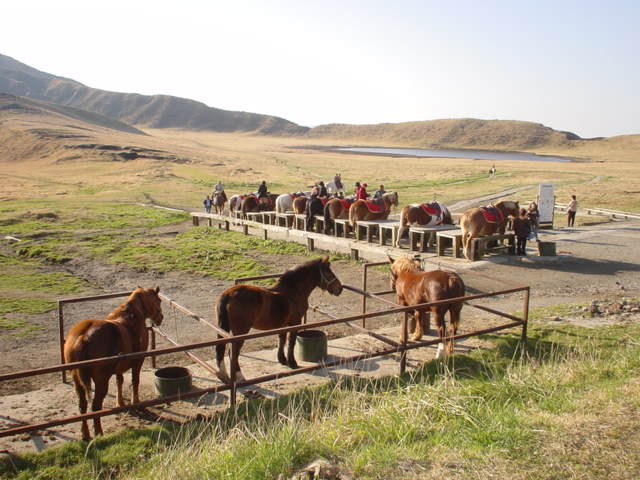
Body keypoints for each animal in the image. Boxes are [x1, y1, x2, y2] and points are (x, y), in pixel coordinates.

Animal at [63, 286, 162, 440]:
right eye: (159, 300)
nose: (161, 318)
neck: (132, 318)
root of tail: (83, 336)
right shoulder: (138, 361)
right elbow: (135, 381)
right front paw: (136, 403)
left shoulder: (119, 367)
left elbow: (119, 381)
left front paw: (120, 403)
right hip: (100, 380)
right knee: (95, 406)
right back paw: (99, 434)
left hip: (77, 379)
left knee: (82, 405)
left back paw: (85, 435)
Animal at [215, 256, 342, 384]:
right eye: (328, 273)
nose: (339, 288)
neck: (293, 292)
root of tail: (228, 294)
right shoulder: (295, 322)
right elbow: (291, 342)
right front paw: (292, 363)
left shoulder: (283, 324)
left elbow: (281, 339)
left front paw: (282, 360)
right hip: (240, 332)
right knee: (233, 352)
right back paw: (240, 376)